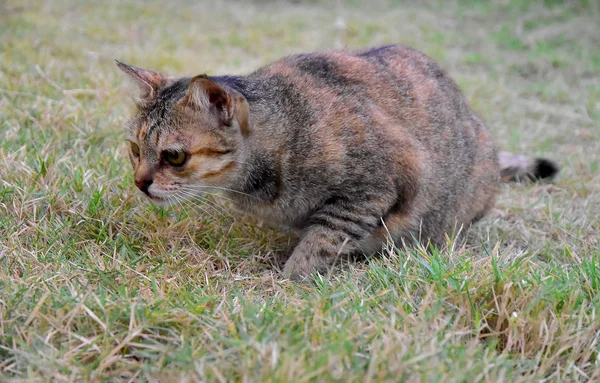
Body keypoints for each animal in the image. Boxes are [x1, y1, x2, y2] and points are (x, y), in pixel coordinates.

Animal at [116, 45, 556, 280]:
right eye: (135, 149)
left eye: (174, 156)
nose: (140, 182)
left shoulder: (372, 188)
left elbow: (322, 240)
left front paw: (287, 281)